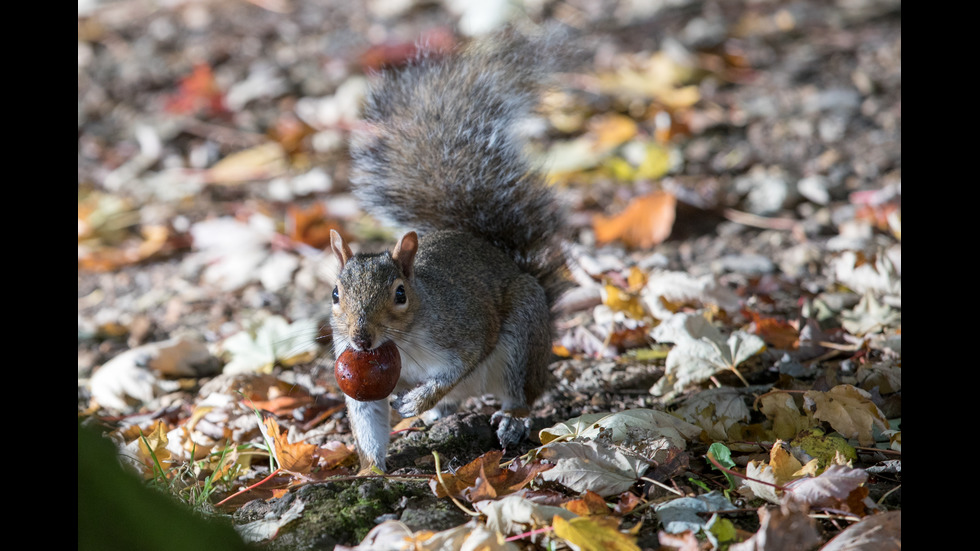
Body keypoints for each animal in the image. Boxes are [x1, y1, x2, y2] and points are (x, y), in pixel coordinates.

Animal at [330, 28, 576, 472]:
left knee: (521, 395)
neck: (401, 342)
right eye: (336, 295)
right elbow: (367, 418)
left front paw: (418, 399)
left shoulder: (463, 328)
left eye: (400, 294)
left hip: (523, 335)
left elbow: (459, 365)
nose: (361, 339)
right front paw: (370, 470)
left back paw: (509, 420)